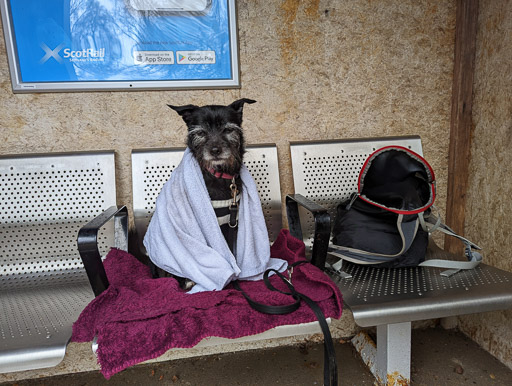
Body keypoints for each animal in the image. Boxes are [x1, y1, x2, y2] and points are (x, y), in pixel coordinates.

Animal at [151, 99, 256, 290]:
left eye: (228, 130)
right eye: (200, 132)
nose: (215, 150)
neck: (218, 175)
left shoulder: (231, 223)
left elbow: (230, 252)